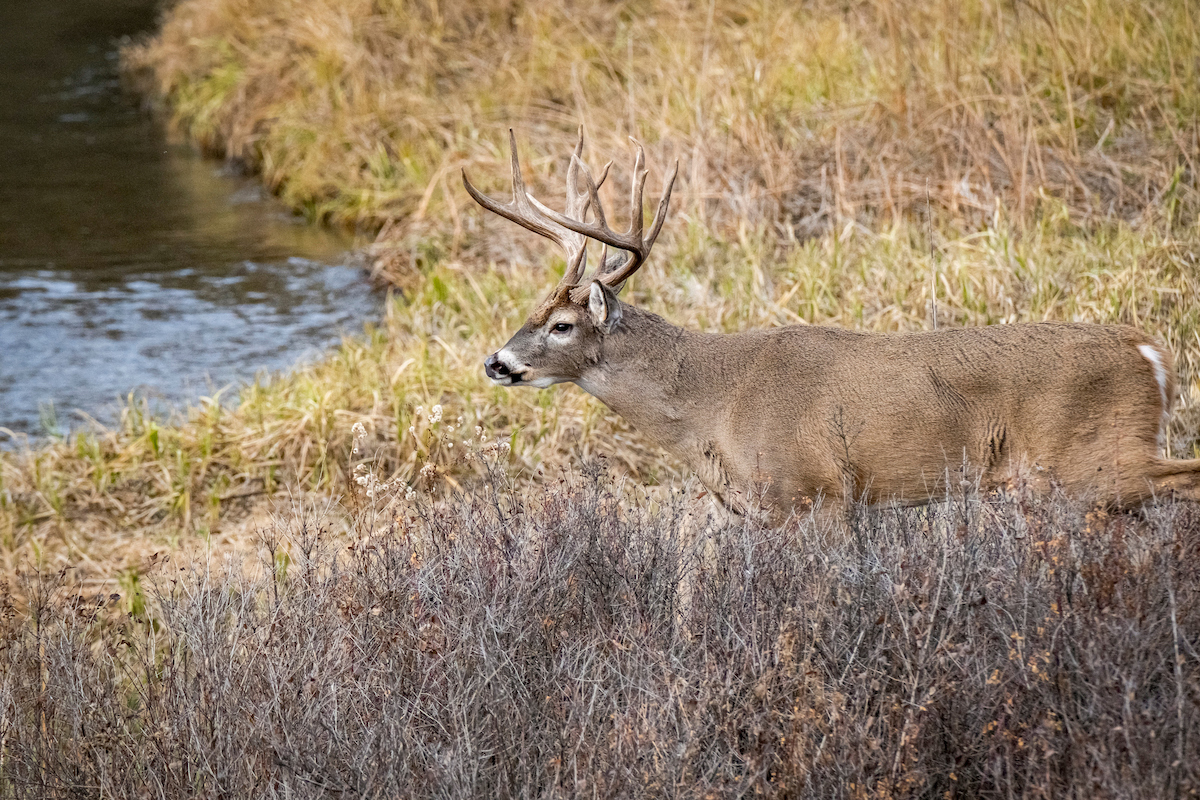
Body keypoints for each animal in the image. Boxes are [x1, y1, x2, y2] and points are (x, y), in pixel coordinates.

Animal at [460, 128, 1200, 522]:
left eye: (561, 325)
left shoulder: (812, 492)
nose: (497, 361)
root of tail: (1150, 353)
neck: (711, 404)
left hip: (1094, 460)